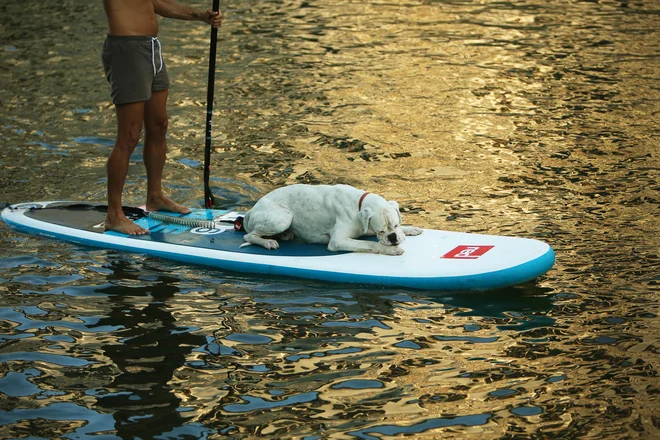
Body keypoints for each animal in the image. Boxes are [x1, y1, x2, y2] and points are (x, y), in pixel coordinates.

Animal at [241, 184, 422, 256]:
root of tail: (251, 210)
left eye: (396, 225)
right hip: (283, 218)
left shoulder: (365, 227)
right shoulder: (338, 241)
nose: (392, 238)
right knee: (249, 235)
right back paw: (268, 242)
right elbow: (370, 244)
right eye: (381, 231)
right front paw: (392, 250)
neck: (358, 204)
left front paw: (410, 229)